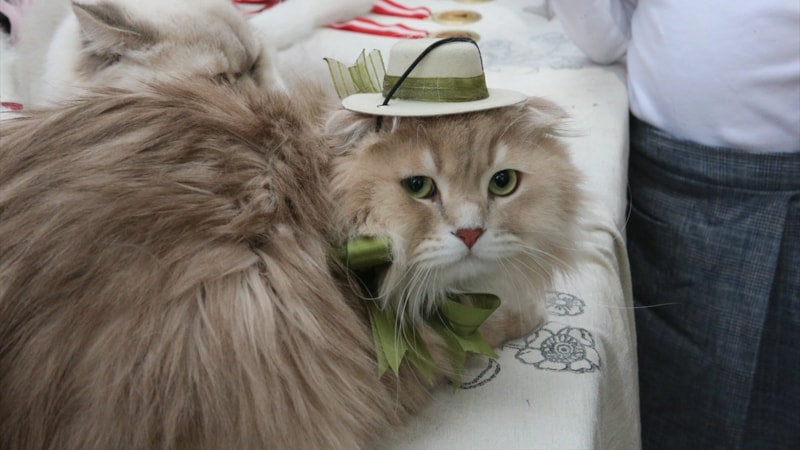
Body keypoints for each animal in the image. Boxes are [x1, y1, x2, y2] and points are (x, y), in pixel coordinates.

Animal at [0, 78, 582, 449]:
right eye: (419, 187)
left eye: (502, 183)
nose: (470, 233)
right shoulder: (423, 348)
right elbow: (489, 323)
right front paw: (529, 313)